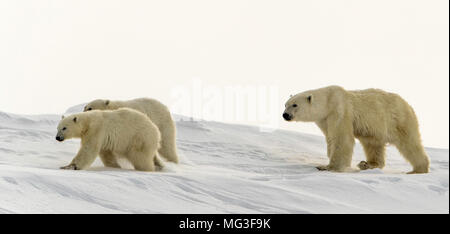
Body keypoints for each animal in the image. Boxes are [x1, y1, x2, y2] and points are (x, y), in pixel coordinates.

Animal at [284, 86, 430, 174]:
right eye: (285, 104)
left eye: (295, 105)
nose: (285, 115)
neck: (328, 101)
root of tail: (408, 105)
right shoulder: (324, 120)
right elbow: (331, 138)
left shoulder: (340, 111)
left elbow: (341, 138)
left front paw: (328, 167)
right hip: (376, 131)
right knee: (373, 146)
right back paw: (367, 164)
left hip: (398, 120)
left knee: (410, 144)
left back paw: (418, 169)